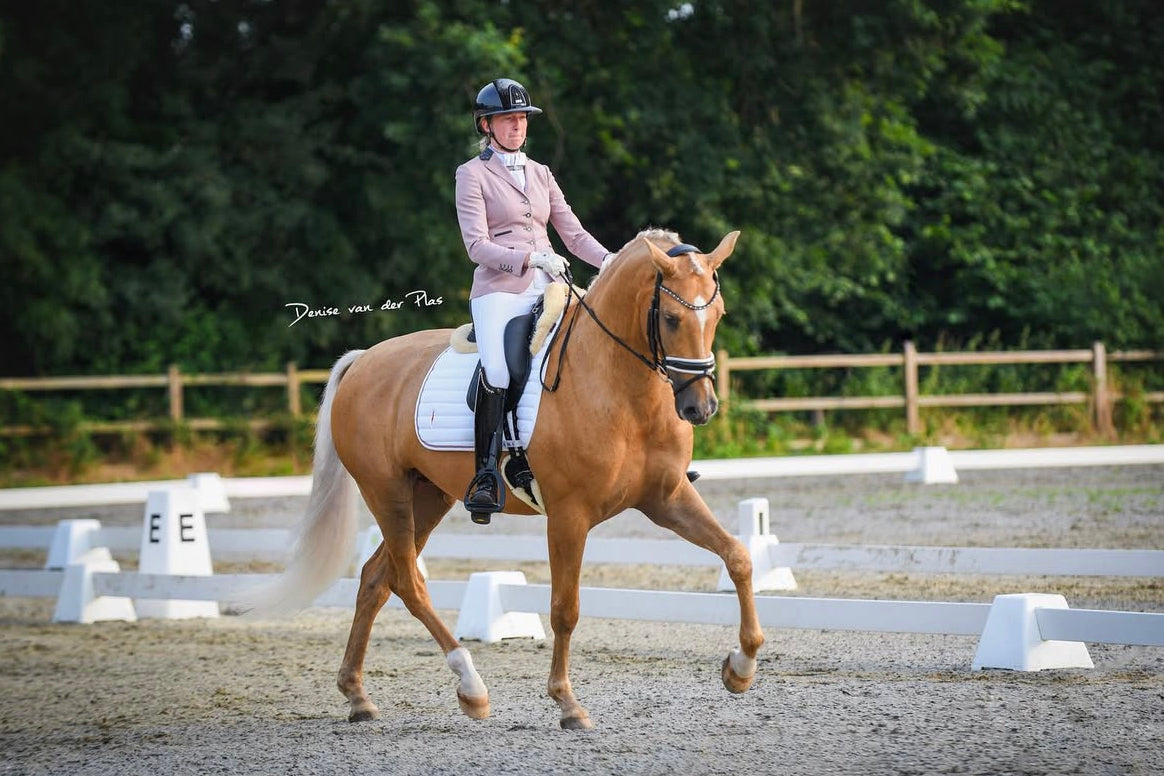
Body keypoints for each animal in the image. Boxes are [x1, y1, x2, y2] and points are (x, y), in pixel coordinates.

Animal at [262, 227, 764, 730]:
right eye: (673, 318)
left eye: (718, 315)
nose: (700, 408)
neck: (617, 385)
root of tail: (365, 360)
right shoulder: (568, 515)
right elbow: (565, 608)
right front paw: (567, 702)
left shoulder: (667, 498)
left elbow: (738, 557)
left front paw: (741, 667)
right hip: (386, 493)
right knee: (407, 582)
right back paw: (471, 687)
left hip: (427, 497)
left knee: (374, 578)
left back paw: (357, 695)